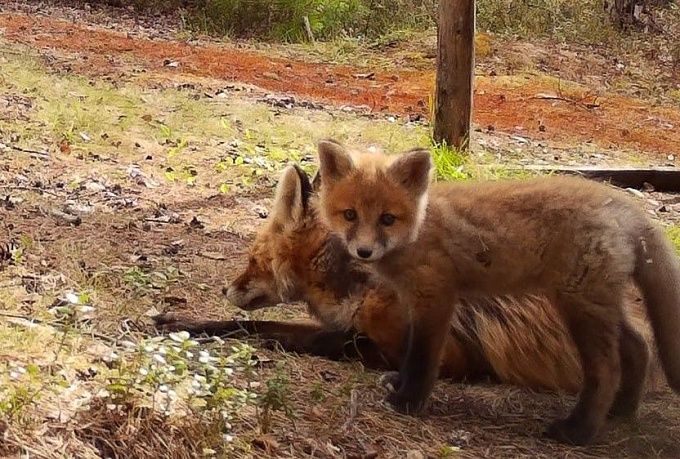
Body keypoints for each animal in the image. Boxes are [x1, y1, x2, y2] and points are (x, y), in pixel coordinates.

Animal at [155, 164, 660, 396]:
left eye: (253, 259)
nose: (225, 289)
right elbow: (254, 326)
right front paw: (183, 323)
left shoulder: (446, 354)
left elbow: (307, 337)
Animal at [316, 139, 680, 446]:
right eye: (350, 215)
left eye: (387, 219)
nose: (363, 252)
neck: (418, 230)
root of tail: (624, 205)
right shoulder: (410, 299)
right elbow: (409, 354)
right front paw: (399, 383)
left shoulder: (436, 297)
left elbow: (422, 358)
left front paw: (409, 400)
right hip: (600, 304)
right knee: (639, 348)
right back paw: (621, 412)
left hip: (579, 308)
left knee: (607, 370)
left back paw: (578, 431)